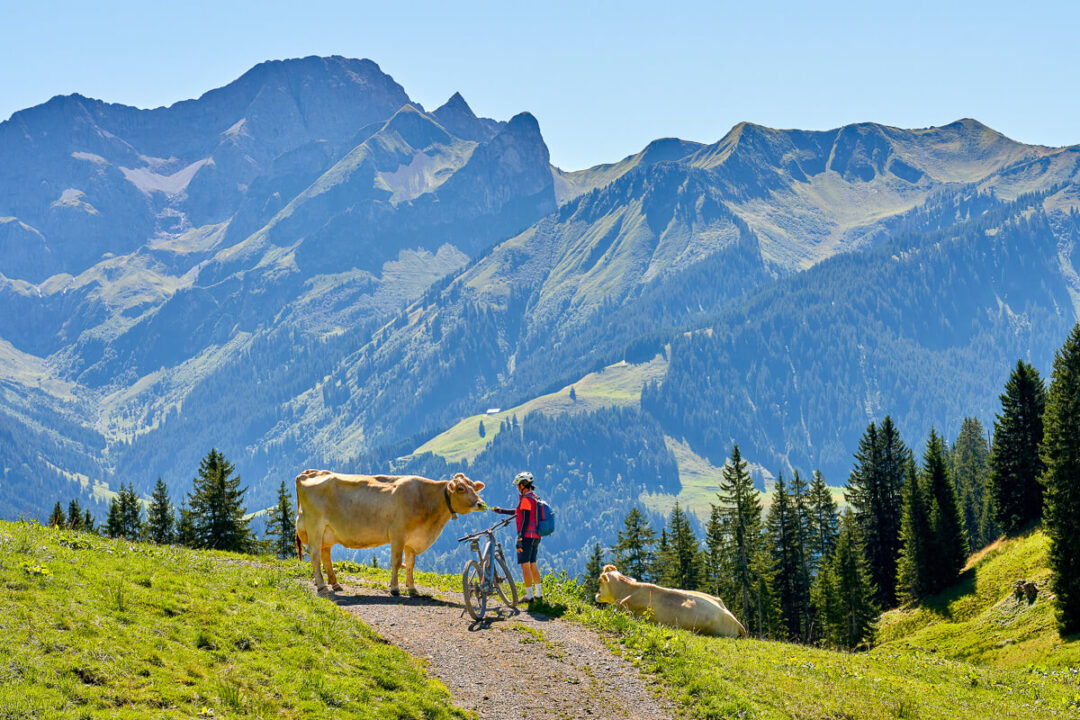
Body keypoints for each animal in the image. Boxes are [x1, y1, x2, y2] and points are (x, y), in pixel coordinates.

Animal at [294, 469, 487, 595]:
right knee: (315, 554)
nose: (480, 504)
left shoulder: (412, 540)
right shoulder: (397, 534)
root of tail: (309, 473)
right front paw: (395, 588)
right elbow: (396, 562)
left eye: (474, 487)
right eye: (461, 488)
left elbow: (410, 564)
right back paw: (322, 586)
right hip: (315, 525)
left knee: (325, 554)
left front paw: (412, 588)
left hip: (327, 532)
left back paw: (335, 584)